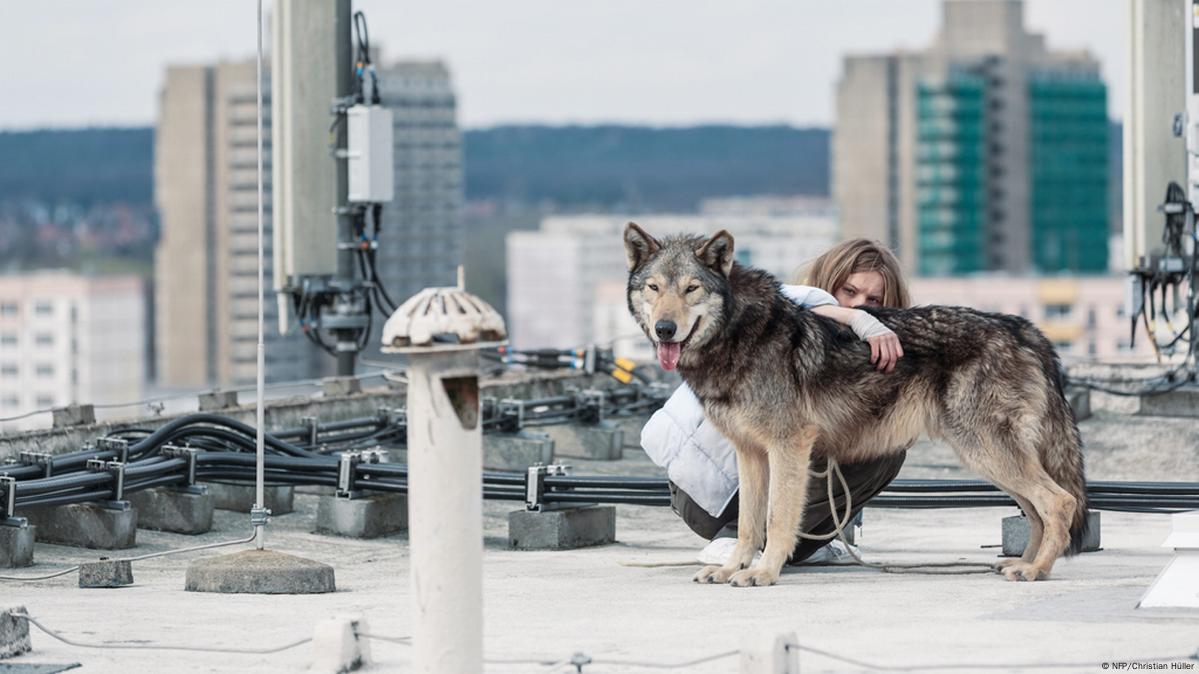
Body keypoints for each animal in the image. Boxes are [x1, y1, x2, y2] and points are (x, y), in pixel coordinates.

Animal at [623, 224, 1093, 582]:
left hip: (986, 453)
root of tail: (1021, 327)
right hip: (989, 459)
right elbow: (747, 526)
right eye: (654, 288)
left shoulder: (788, 447)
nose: (665, 329)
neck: (738, 334)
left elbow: (776, 519)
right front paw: (731, 569)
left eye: (691, 288)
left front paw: (764, 573)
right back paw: (1022, 564)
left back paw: (1035, 571)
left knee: (1059, 503)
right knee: (1037, 510)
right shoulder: (750, 453)